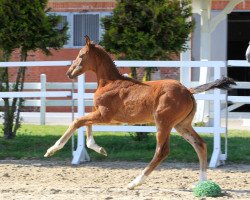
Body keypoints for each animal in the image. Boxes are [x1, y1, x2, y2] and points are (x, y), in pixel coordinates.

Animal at [44, 35, 234, 189]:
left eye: (81, 55)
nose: (69, 73)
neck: (110, 82)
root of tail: (188, 90)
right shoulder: (102, 114)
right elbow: (85, 123)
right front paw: (99, 149)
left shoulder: (105, 115)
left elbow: (77, 121)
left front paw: (52, 149)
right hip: (182, 124)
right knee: (199, 144)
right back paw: (202, 182)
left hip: (163, 123)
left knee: (162, 151)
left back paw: (135, 182)